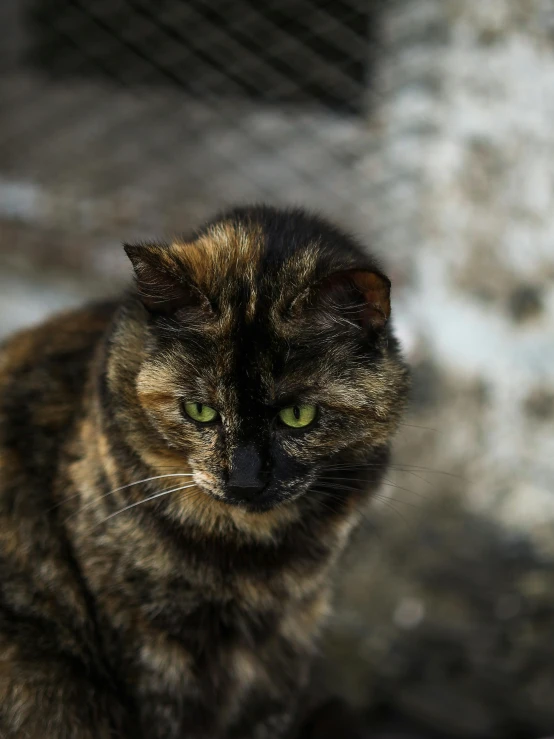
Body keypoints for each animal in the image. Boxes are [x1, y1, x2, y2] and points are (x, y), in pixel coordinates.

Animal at [0, 204, 406, 739]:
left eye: (297, 415)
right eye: (200, 411)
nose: (245, 478)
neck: (254, 566)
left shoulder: (284, 653)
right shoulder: (152, 653)